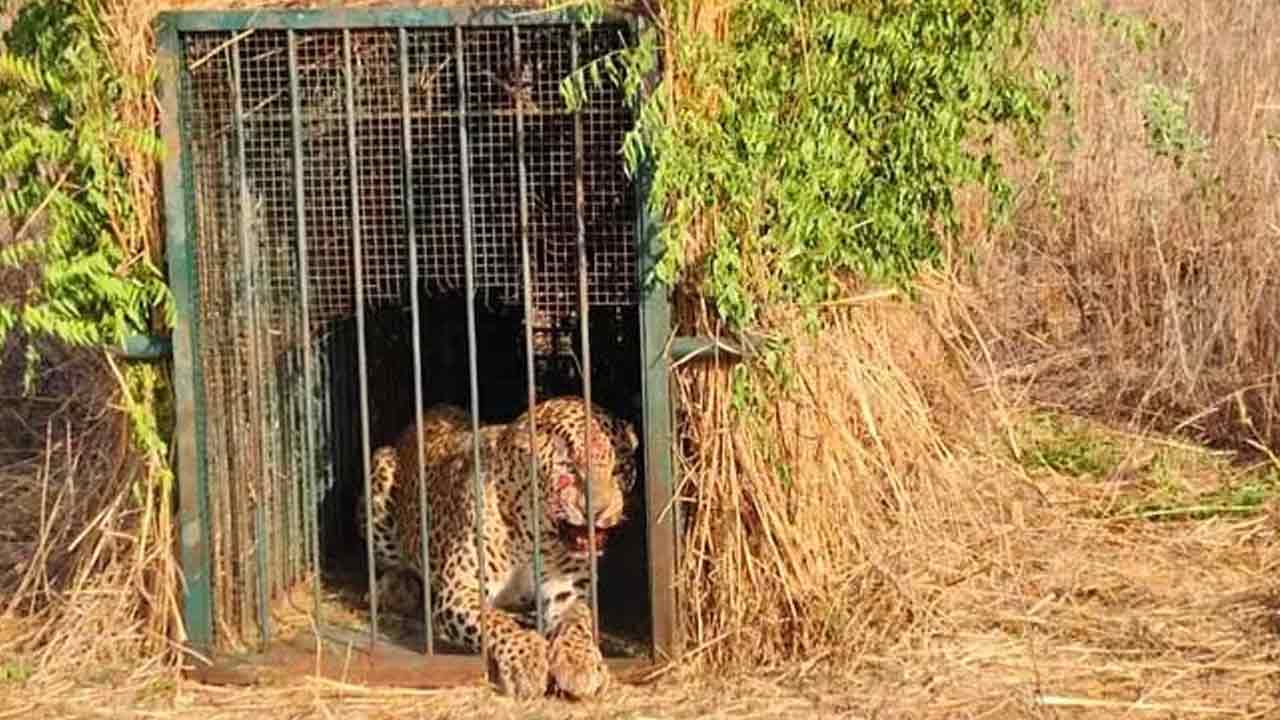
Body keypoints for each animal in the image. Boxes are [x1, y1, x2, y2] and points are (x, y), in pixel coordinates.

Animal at [355, 396, 639, 699]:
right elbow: (495, 622)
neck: (535, 534)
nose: (598, 511)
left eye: (619, 470)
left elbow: (577, 623)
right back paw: (395, 590)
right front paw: (527, 661)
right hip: (380, 468)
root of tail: (435, 409)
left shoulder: (568, 595)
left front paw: (581, 662)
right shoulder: (460, 589)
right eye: (569, 468)